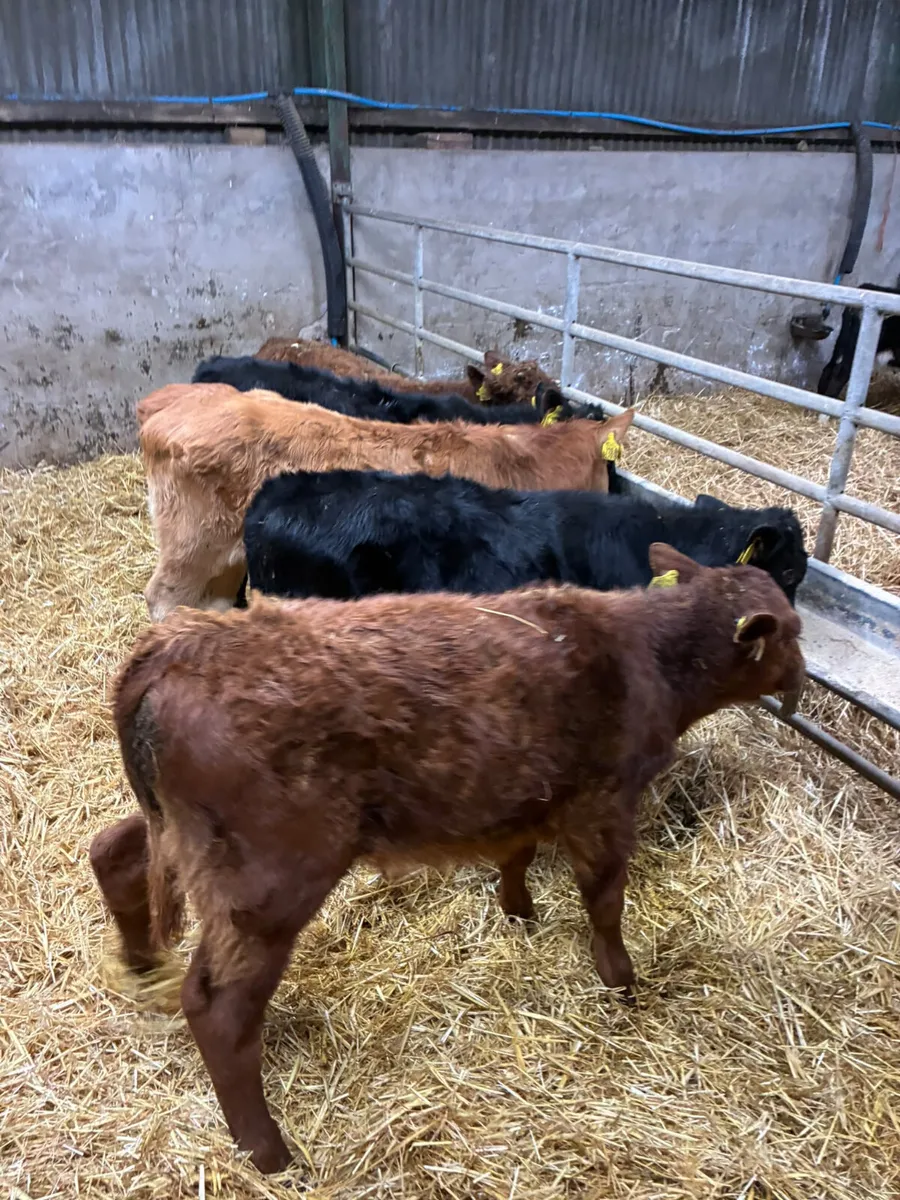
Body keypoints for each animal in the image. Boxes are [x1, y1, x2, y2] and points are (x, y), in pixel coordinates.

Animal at [90, 547, 805, 1173]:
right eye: (792, 633)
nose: (799, 681)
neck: (648, 656)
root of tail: (175, 649)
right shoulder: (603, 804)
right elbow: (605, 901)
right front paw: (622, 983)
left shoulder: (529, 794)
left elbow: (518, 854)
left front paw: (519, 912)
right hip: (267, 878)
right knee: (220, 1007)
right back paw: (269, 1153)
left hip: (180, 834)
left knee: (112, 852)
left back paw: (141, 963)